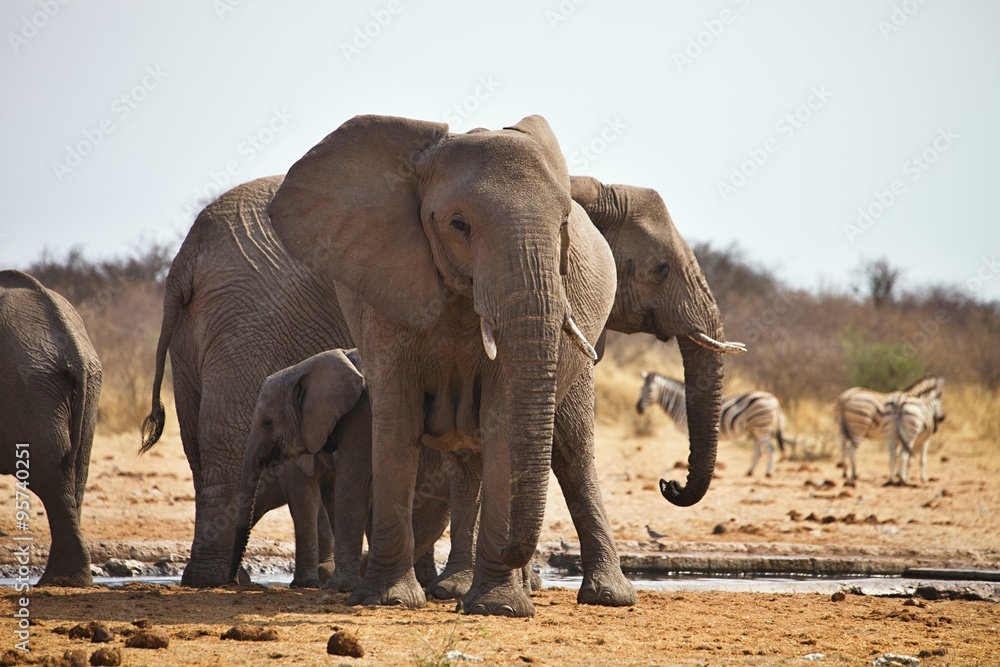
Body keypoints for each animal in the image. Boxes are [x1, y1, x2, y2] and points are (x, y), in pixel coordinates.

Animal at [0, 270, 102, 586]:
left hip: (26, 386)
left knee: (50, 475)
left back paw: (61, 581)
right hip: (81, 385)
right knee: (76, 471)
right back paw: (70, 579)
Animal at [266, 114, 633, 617]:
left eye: (563, 224)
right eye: (459, 224)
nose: (513, 552)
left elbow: (503, 421)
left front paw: (497, 607)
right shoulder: (385, 289)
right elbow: (397, 421)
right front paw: (390, 600)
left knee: (571, 453)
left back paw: (604, 597)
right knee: (468, 464)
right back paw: (459, 589)